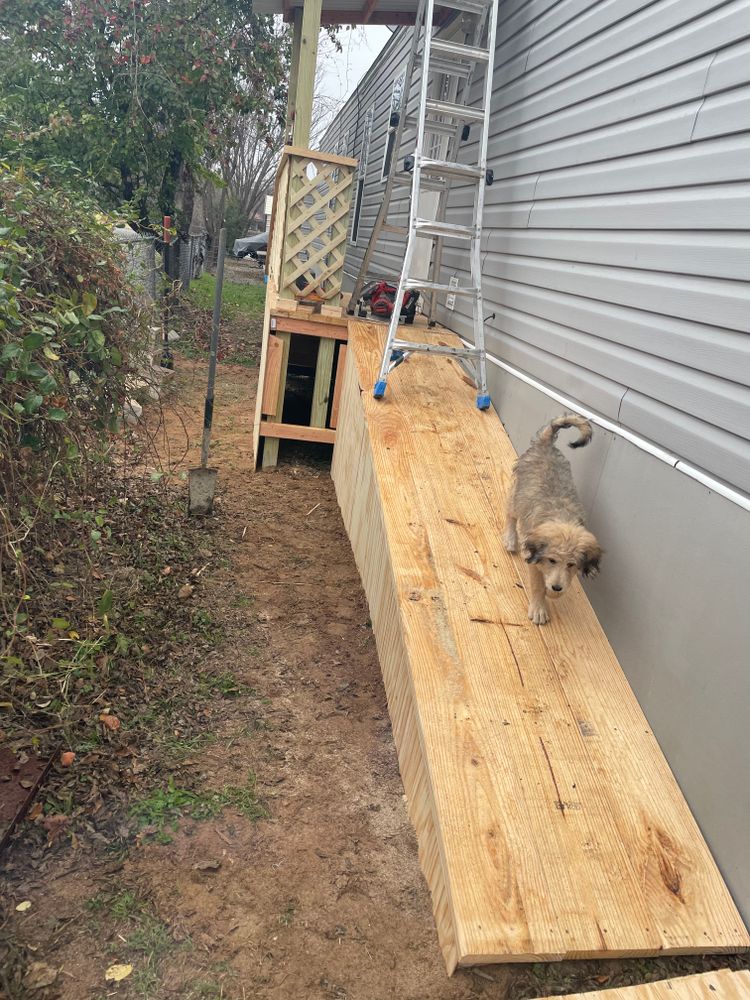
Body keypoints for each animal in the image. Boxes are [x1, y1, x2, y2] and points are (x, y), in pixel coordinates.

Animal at [506, 410, 604, 620]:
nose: (557, 587)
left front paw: (553, 593)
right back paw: (510, 539)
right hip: (517, 495)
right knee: (509, 514)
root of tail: (545, 444)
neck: (561, 517)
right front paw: (539, 608)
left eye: (571, 564)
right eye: (552, 560)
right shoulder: (533, 559)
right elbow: (537, 584)